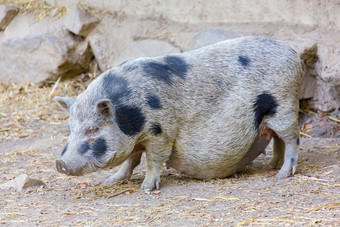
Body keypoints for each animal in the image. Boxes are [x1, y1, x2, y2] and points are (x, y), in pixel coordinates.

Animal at [54, 36, 304, 191]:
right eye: (70, 129)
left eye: (93, 129)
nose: (60, 163)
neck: (130, 114)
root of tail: (294, 54)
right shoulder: (137, 139)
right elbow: (131, 160)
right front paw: (110, 181)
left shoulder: (159, 131)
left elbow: (152, 160)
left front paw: (146, 188)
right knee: (277, 139)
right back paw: (270, 166)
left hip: (284, 105)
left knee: (291, 138)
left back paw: (282, 175)